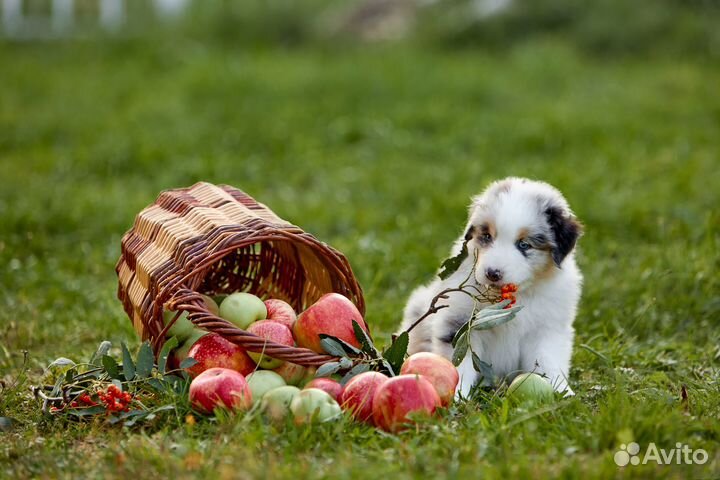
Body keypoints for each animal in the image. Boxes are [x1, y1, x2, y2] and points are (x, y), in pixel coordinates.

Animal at [402, 176, 584, 398]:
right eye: (487, 236)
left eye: (524, 244)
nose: (492, 273)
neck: (518, 294)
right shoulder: (461, 323)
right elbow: (459, 364)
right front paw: (458, 396)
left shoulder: (547, 329)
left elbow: (547, 362)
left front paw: (563, 393)